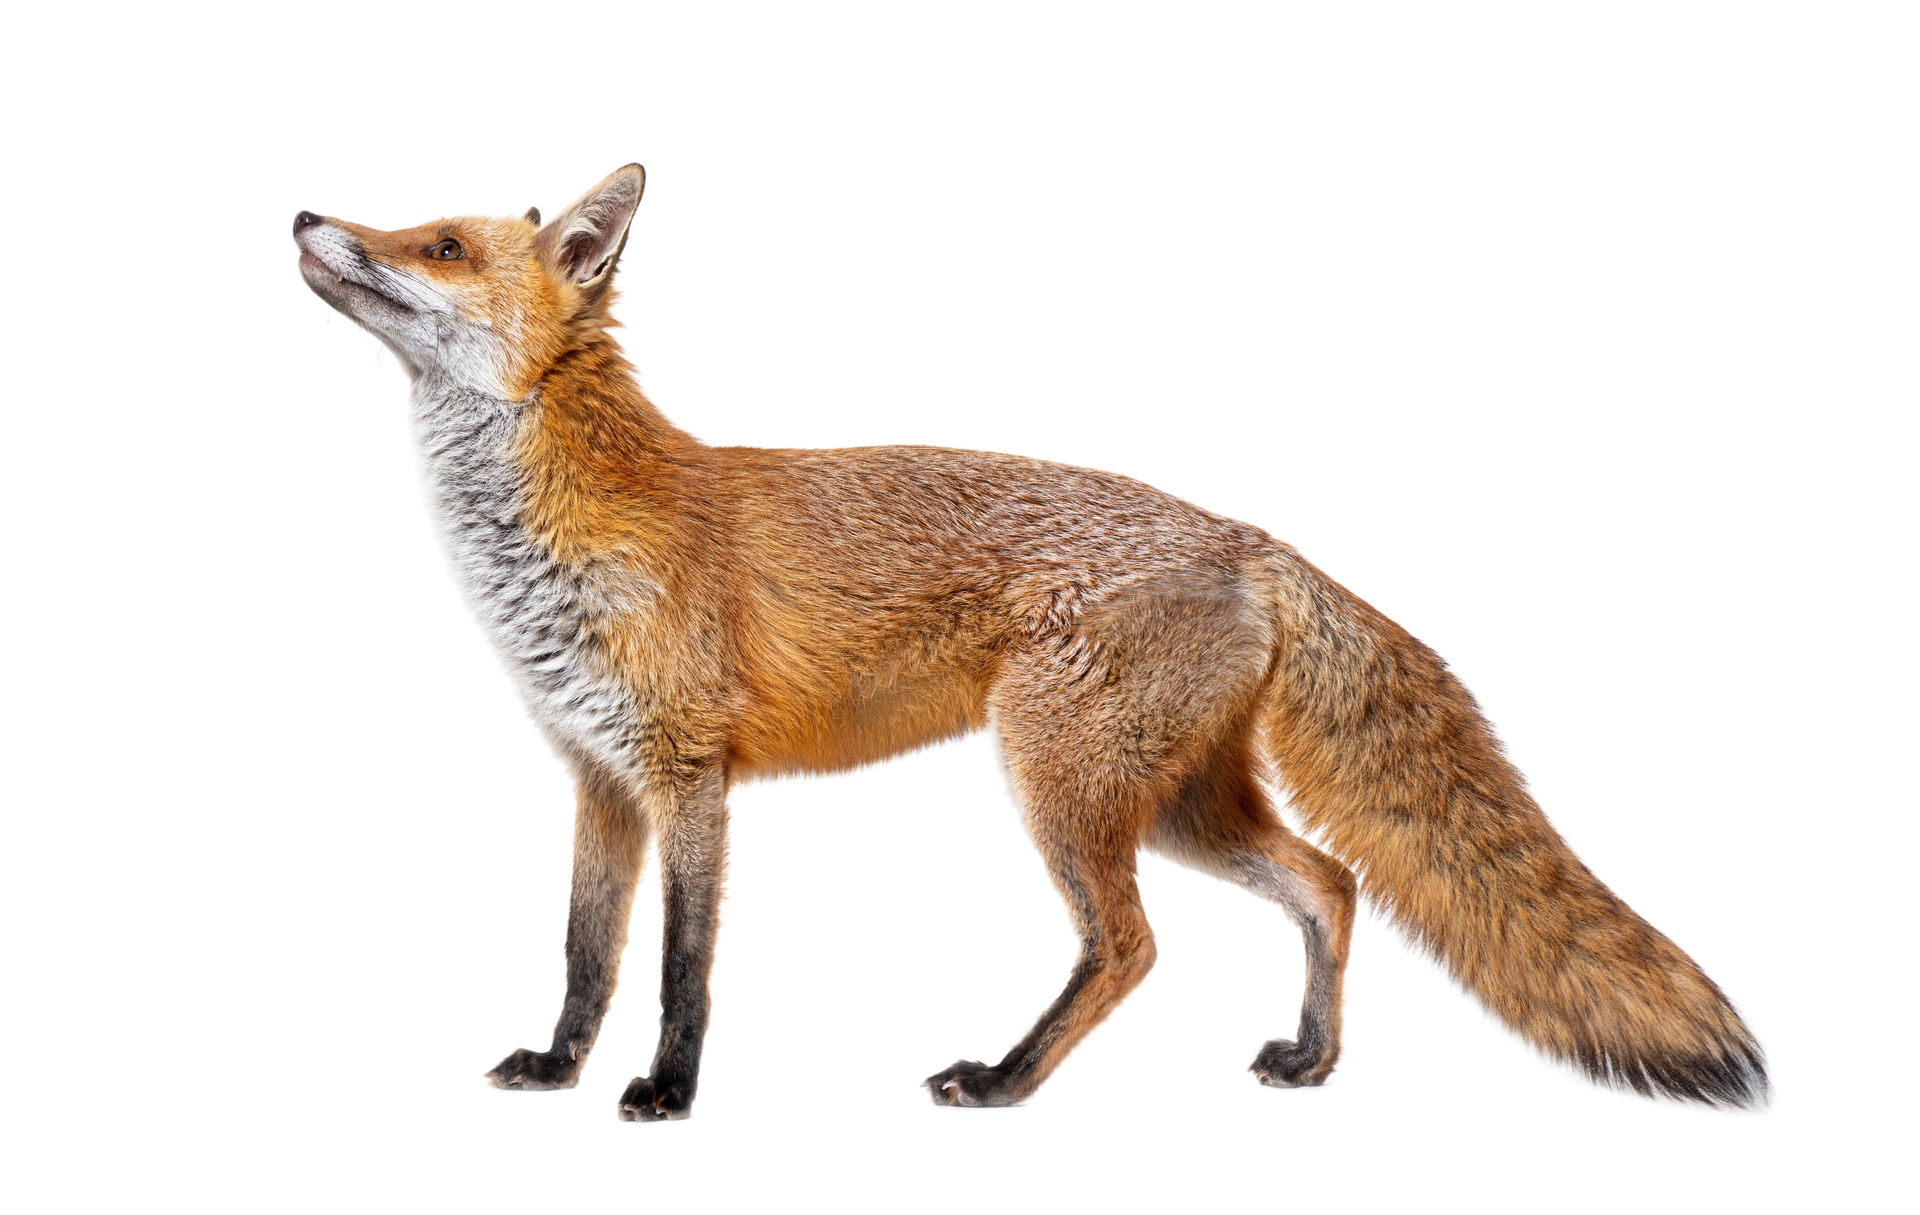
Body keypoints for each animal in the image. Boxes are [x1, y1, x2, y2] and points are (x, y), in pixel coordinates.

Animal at [288, 166, 1781, 1120]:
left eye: (441, 248)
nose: (305, 214)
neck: (548, 551)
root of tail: (1258, 537)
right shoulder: (597, 781)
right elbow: (586, 954)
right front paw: (556, 1068)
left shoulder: (690, 777)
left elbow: (679, 965)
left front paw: (663, 1091)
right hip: (1177, 803)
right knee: (1329, 882)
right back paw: (1312, 1061)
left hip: (1058, 784)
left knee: (1133, 948)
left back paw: (1006, 1082)